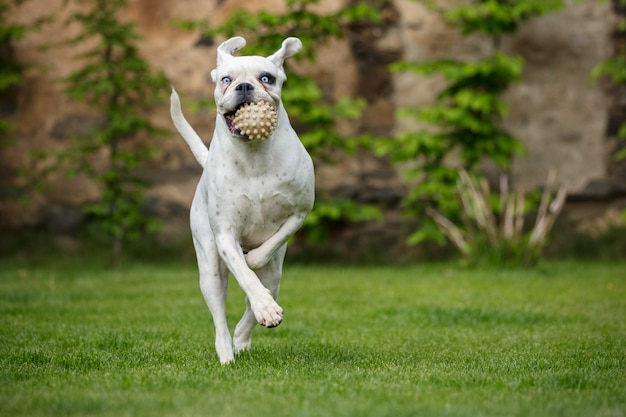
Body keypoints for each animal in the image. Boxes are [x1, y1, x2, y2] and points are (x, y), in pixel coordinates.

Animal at [169, 35, 312, 362]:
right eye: (226, 79)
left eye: (266, 78)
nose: (244, 86)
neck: (254, 154)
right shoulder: (225, 235)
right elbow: (246, 276)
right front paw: (265, 307)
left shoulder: (300, 212)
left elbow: (266, 249)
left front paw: (256, 269)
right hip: (209, 270)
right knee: (220, 315)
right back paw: (226, 353)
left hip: (275, 273)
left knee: (262, 287)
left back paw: (243, 338)